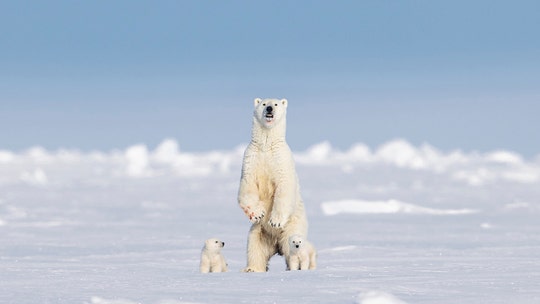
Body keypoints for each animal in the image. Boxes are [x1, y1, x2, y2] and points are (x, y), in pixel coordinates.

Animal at [237, 98, 308, 274]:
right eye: (263, 104)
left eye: (276, 104)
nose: (269, 108)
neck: (266, 146)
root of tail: (277, 246)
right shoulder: (251, 159)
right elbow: (247, 187)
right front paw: (257, 213)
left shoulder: (281, 160)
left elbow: (284, 188)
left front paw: (275, 221)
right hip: (259, 232)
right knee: (255, 248)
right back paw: (252, 268)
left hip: (293, 229)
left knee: (292, 247)